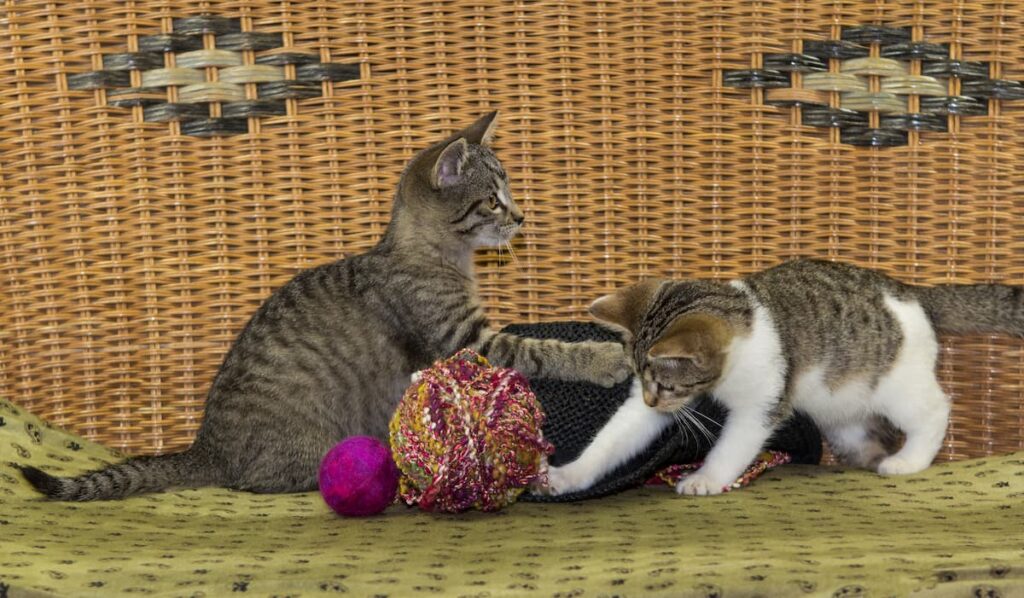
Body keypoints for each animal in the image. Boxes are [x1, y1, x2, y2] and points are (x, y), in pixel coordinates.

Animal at [24, 111, 626, 499]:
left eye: (508, 195)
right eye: (493, 200)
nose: (521, 216)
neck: (432, 254)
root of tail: (205, 446)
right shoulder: (465, 339)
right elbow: (542, 351)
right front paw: (606, 358)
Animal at [548, 259, 1024, 497]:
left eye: (666, 385)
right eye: (641, 382)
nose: (652, 400)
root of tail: (912, 292)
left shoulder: (761, 403)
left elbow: (733, 446)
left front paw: (705, 479)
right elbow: (615, 437)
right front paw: (569, 476)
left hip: (898, 384)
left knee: (934, 411)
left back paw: (909, 460)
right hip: (842, 406)